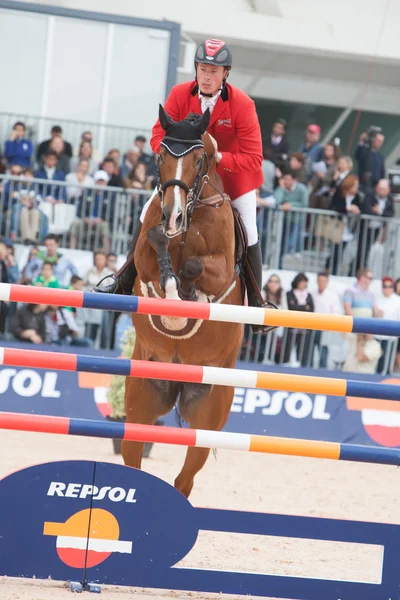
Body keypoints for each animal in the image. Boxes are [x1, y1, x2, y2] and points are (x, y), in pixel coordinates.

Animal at [122, 105, 244, 500]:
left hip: (208, 412)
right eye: (161, 155)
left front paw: (184, 297)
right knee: (133, 454)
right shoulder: (147, 254)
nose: (174, 216)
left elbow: (194, 268)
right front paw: (171, 290)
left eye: (199, 157)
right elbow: (157, 247)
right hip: (141, 398)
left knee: (186, 477)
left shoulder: (222, 267)